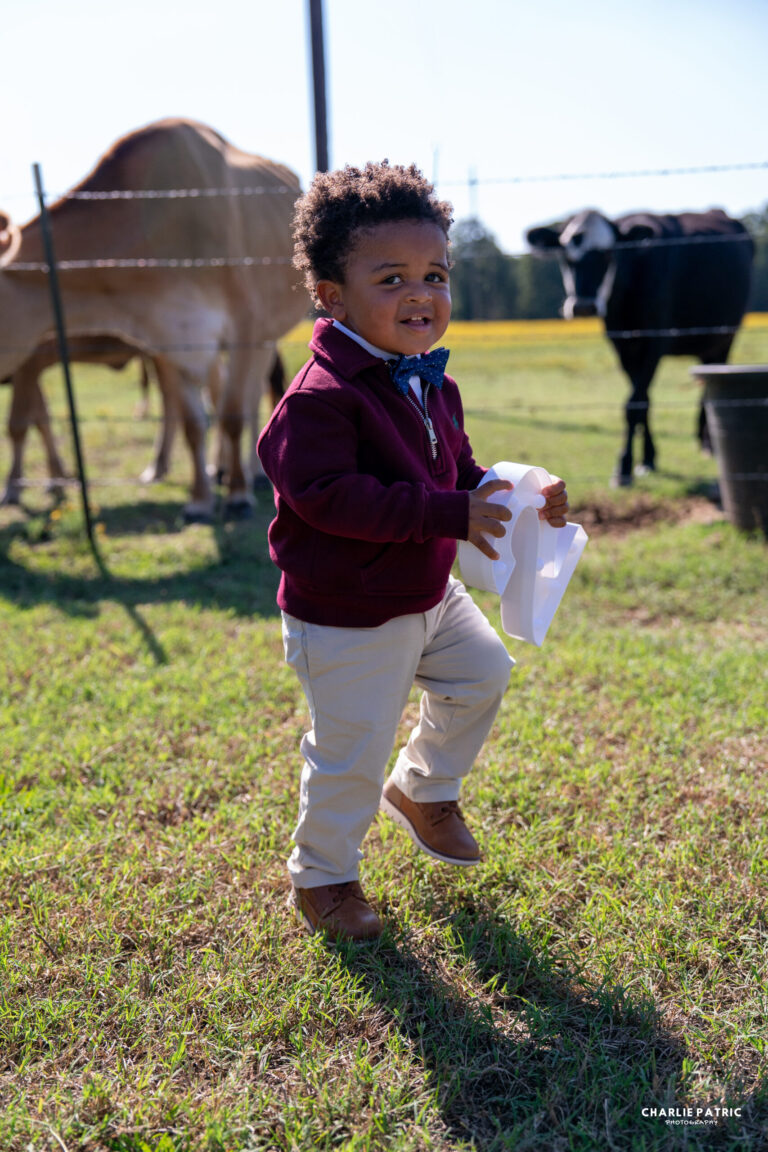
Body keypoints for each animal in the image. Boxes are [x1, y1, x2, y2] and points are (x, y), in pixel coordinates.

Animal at [0, 118, 308, 519]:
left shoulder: (246, 326)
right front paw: (199, 500)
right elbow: (194, 423)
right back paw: (219, 468)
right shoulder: (170, 337)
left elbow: (232, 416)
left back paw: (250, 474)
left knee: (252, 397)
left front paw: (238, 497)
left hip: (267, 334)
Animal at [526, 208, 754, 485]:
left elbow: (634, 404)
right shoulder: (622, 345)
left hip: (724, 337)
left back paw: (709, 444)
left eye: (608, 253)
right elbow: (643, 400)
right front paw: (648, 459)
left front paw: (623, 466)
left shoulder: (655, 342)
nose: (583, 306)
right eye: (567, 256)